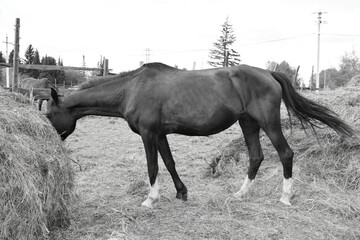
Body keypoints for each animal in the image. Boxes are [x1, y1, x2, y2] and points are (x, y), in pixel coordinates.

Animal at [45, 62, 354, 208]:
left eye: (48, 115)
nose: (51, 143)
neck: (132, 88)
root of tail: (268, 73)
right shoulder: (160, 134)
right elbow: (169, 163)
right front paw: (181, 192)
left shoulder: (148, 134)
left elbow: (153, 166)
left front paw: (150, 200)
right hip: (248, 124)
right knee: (256, 156)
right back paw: (240, 194)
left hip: (267, 122)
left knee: (285, 153)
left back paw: (285, 197)